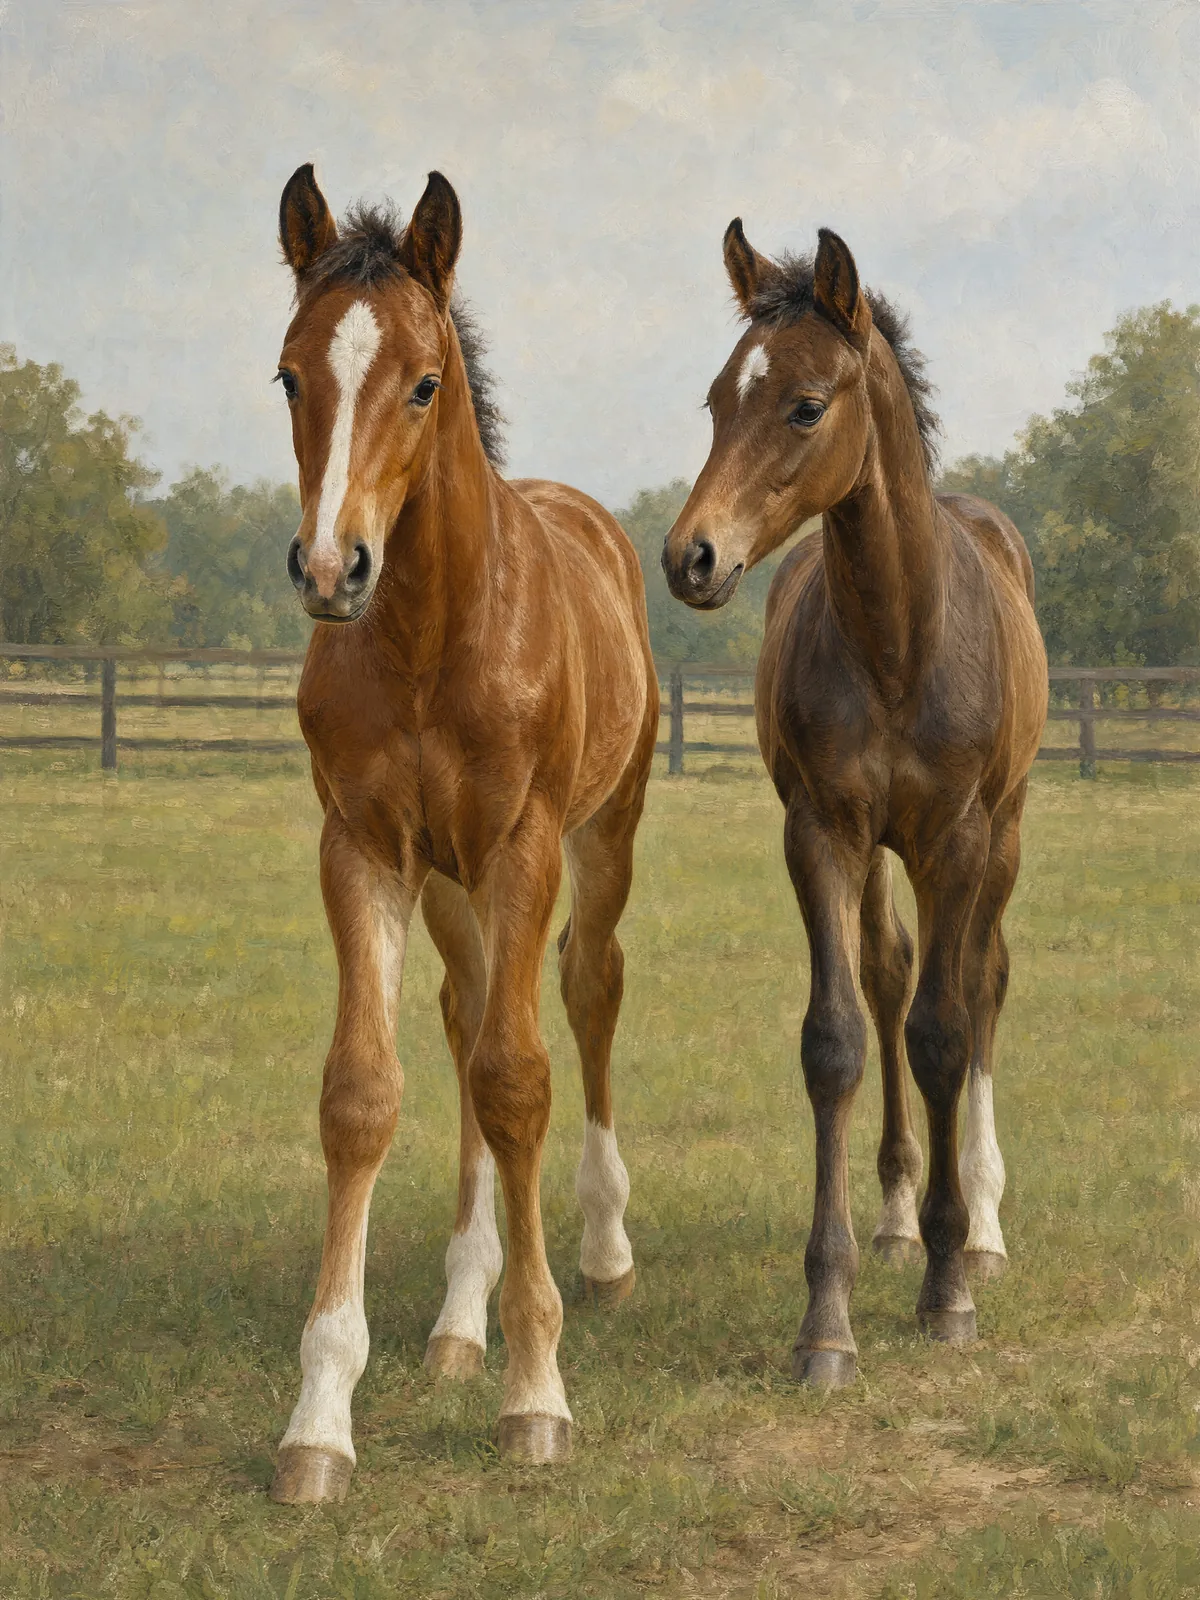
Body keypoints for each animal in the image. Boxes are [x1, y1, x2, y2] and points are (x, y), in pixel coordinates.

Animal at [268, 165, 658, 1501]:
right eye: (290, 374)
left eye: (425, 383)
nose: (331, 567)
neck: (435, 635)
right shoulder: (361, 848)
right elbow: (363, 1092)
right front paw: (320, 1415)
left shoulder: (524, 845)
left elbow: (519, 1077)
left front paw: (536, 1391)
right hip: (446, 881)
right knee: (469, 1008)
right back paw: (456, 1318)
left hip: (600, 835)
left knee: (584, 993)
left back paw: (602, 1253)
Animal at [662, 220, 1047, 1386]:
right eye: (715, 398)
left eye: (804, 405)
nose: (691, 556)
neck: (898, 640)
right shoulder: (822, 833)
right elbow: (839, 1036)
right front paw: (827, 1319)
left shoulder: (960, 840)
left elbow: (946, 1031)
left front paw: (951, 1285)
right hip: (882, 851)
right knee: (889, 975)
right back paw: (892, 1219)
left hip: (1003, 834)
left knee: (981, 980)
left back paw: (984, 1225)